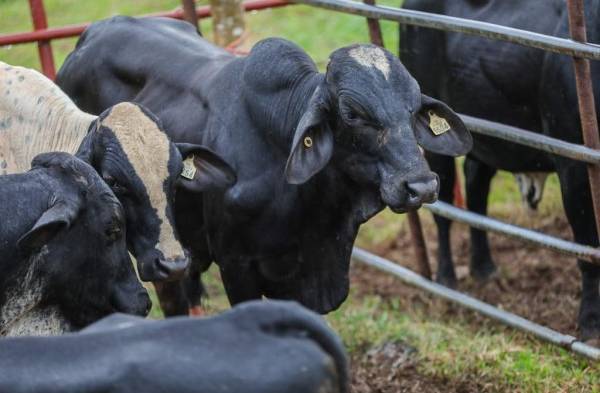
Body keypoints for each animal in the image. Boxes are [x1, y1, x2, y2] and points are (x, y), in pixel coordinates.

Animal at [400, 0, 600, 338]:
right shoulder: (574, 163)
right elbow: (588, 247)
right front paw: (590, 326)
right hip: (433, 136)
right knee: (445, 209)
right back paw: (445, 280)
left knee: (476, 191)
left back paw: (484, 269)